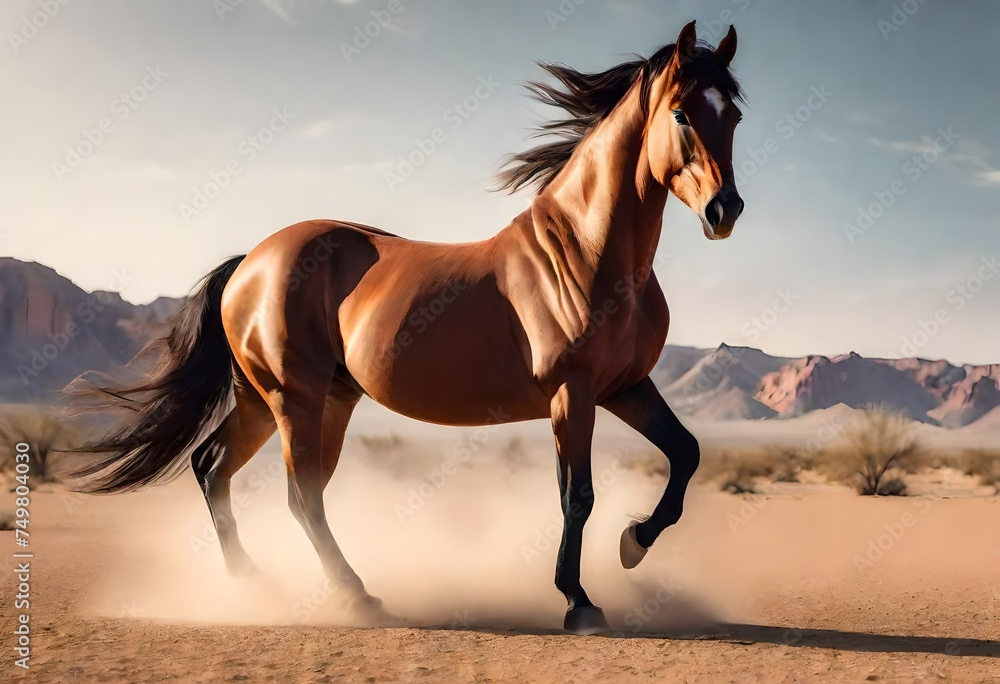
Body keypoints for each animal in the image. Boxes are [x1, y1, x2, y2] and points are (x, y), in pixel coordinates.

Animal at [73, 20, 745, 635]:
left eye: (734, 115)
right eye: (682, 114)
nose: (725, 211)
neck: (586, 252)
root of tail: (251, 262)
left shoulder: (625, 387)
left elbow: (685, 453)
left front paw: (634, 542)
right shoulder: (571, 393)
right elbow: (576, 495)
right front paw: (579, 601)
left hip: (282, 400)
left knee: (217, 468)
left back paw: (255, 581)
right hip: (294, 398)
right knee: (300, 495)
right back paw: (354, 597)